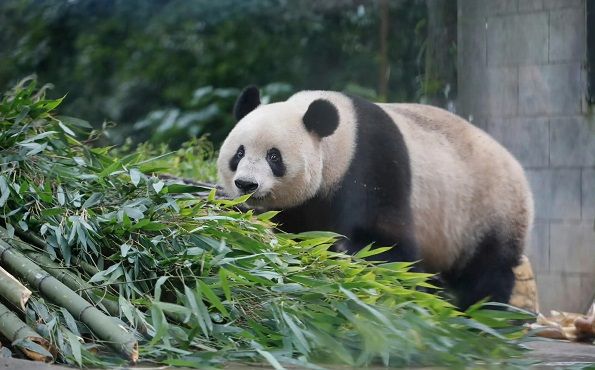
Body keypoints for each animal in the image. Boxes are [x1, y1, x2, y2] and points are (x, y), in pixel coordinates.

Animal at [218, 86, 536, 310]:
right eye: (239, 153)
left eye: (274, 156)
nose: (246, 184)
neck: (341, 142)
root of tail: (517, 168)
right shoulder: (304, 205)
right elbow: (301, 233)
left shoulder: (374, 165)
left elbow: (384, 242)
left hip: (489, 209)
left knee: (487, 270)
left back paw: (482, 317)